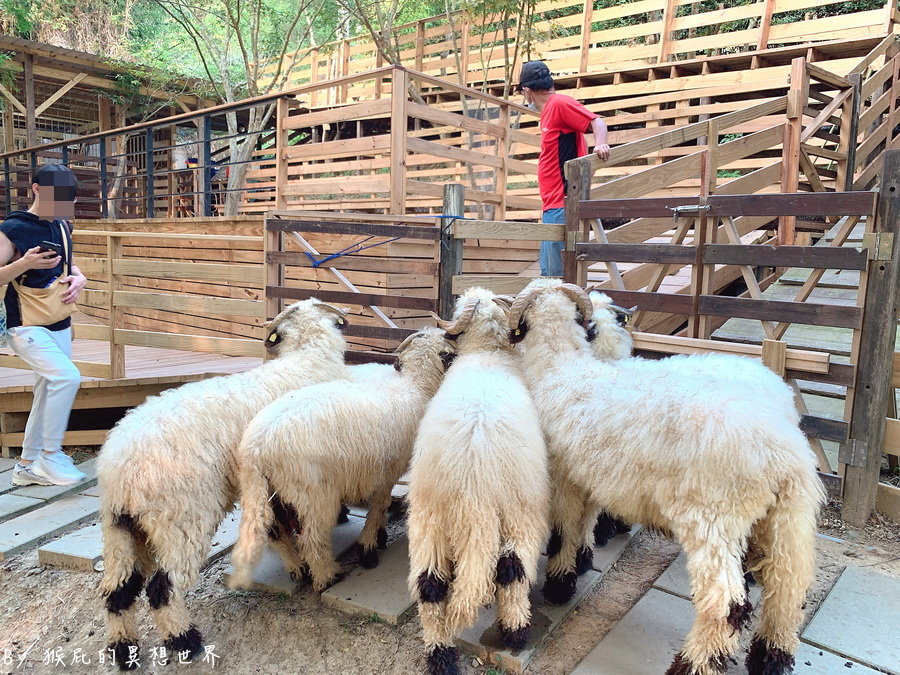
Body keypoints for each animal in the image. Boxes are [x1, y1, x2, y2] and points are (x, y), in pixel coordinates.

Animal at [96, 302, 352, 672]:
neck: (307, 355)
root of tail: (119, 469)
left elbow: (276, 527)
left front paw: (297, 565)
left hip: (123, 530)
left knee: (118, 591)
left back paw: (124, 651)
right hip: (180, 519)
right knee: (162, 589)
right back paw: (186, 642)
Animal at [230, 326, 458, 592]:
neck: (414, 387)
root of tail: (257, 449)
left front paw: (379, 538)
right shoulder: (386, 473)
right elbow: (378, 507)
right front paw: (368, 548)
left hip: (267, 492)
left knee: (276, 532)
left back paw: (297, 569)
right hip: (312, 494)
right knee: (312, 538)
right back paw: (328, 576)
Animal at [406, 286, 548, 675]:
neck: (487, 354)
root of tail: (471, 494)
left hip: (428, 519)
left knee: (430, 586)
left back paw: (440, 655)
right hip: (519, 512)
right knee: (512, 571)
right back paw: (516, 632)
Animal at [506, 282, 824, 675]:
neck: (562, 367)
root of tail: (784, 453)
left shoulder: (566, 477)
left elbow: (565, 529)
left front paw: (560, 583)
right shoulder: (593, 475)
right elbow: (584, 522)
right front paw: (582, 560)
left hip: (713, 519)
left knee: (726, 605)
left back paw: (692, 664)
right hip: (785, 516)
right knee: (787, 587)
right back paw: (770, 658)